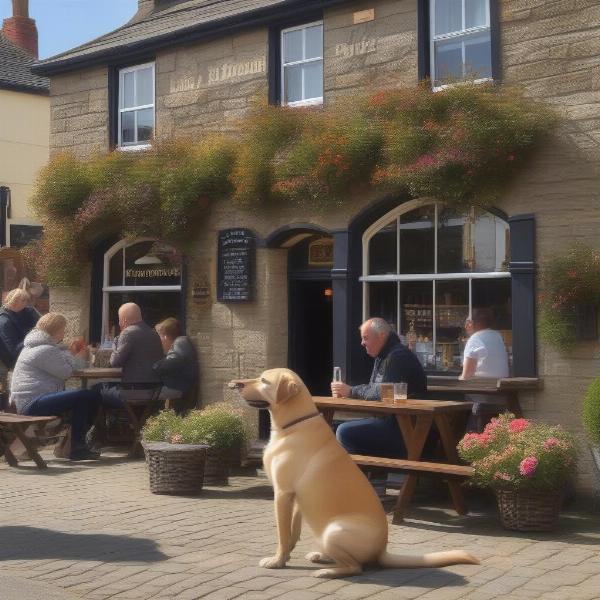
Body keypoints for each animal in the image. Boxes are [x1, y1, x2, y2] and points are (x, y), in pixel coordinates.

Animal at [230, 368, 478, 580]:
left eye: (264, 381)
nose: (236, 384)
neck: (292, 426)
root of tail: (382, 551)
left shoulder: (282, 494)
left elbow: (282, 534)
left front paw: (277, 561)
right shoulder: (296, 498)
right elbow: (292, 533)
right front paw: (287, 555)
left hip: (333, 531)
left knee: (355, 567)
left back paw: (327, 571)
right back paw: (321, 556)